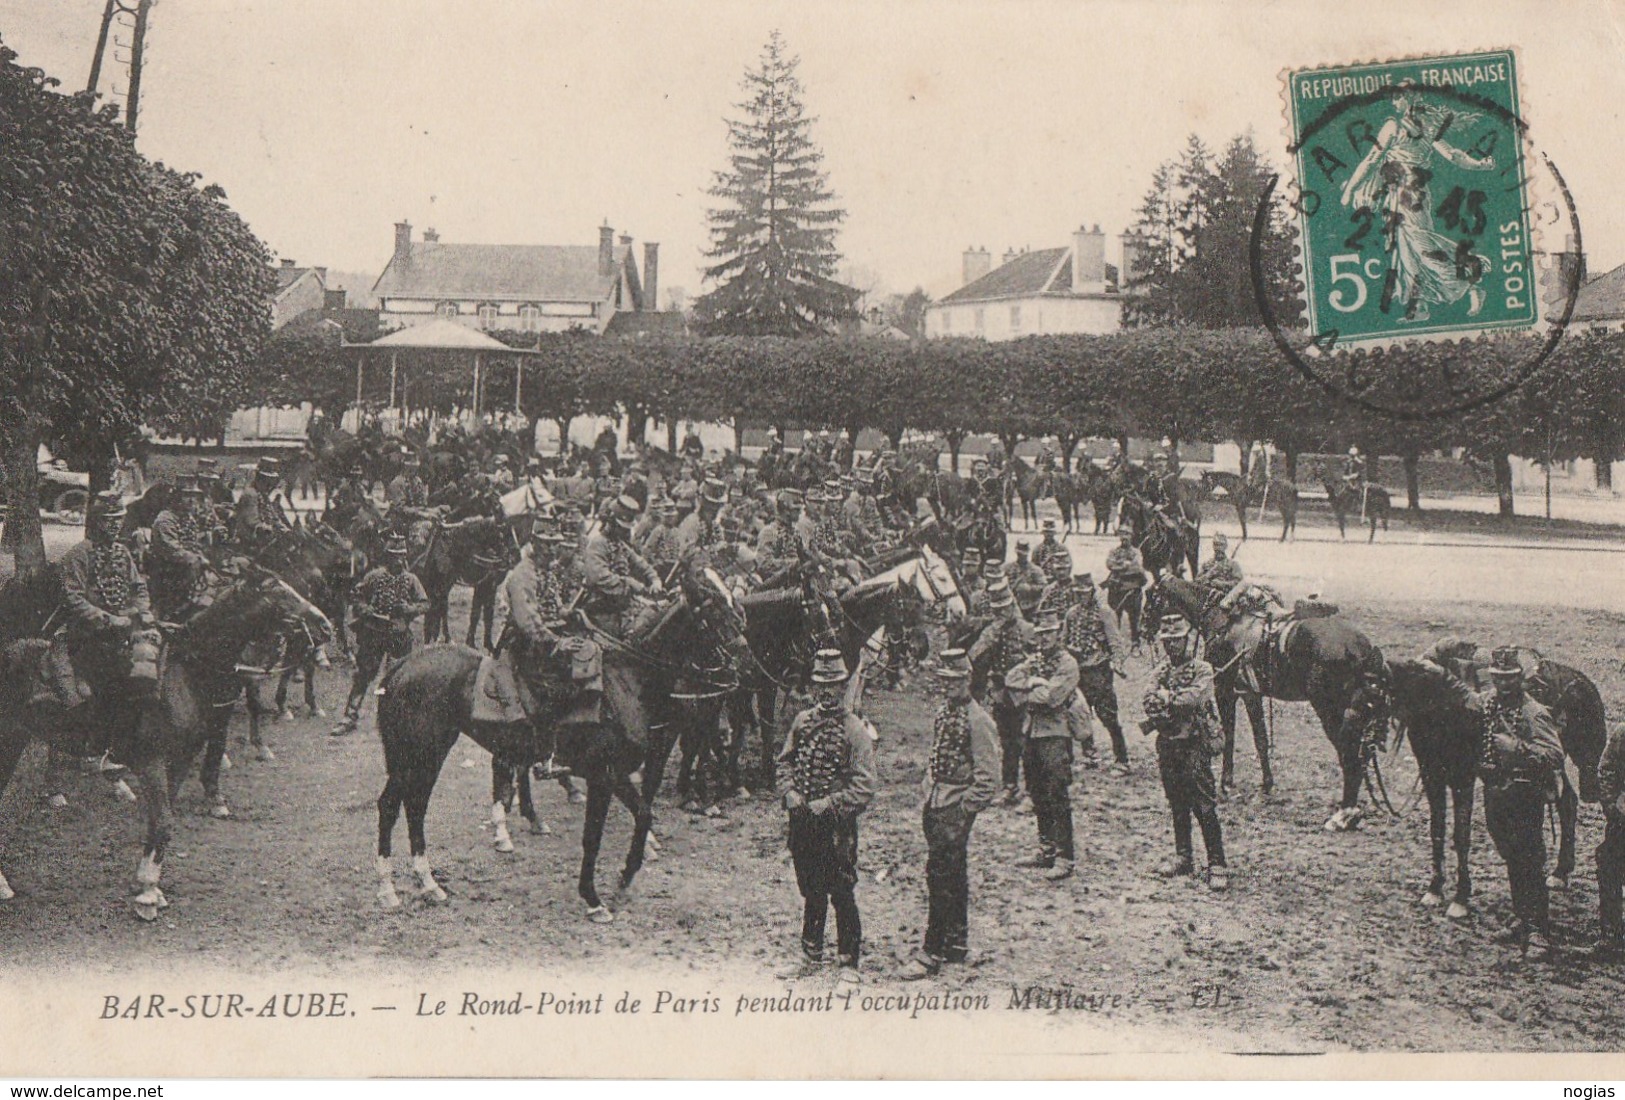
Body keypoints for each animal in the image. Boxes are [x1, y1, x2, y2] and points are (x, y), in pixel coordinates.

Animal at [0, 571, 329, 916]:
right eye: (280, 596)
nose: (325, 626)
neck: (185, 674)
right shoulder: (151, 762)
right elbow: (164, 821)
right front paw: (146, 893)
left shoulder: (181, 759)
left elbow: (162, 820)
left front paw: (149, 884)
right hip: (8, 743)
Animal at [372, 565, 744, 916]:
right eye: (712, 606)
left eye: (732, 600)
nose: (742, 652)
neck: (627, 682)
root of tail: (401, 666)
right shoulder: (603, 775)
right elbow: (593, 837)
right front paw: (593, 898)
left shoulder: (622, 770)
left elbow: (644, 813)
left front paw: (626, 876)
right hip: (420, 753)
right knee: (397, 805)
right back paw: (391, 889)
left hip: (422, 755)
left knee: (413, 805)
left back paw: (428, 883)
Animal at [1150, 575, 1391, 825]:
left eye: (1151, 595)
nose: (1145, 628)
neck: (1220, 618)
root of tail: (1359, 647)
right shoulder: (1250, 694)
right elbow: (1261, 740)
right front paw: (1267, 784)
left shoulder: (1229, 691)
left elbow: (1235, 737)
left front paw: (1228, 783)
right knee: (1360, 754)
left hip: (1329, 710)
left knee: (1349, 754)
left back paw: (1344, 813)